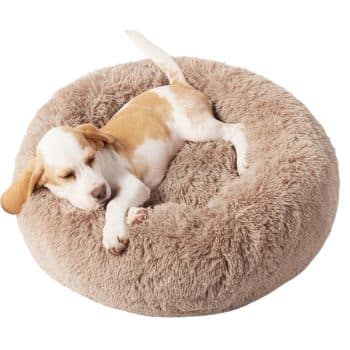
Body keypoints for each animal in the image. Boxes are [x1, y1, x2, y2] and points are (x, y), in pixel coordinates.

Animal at [0, 31, 249, 256]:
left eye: (91, 159)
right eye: (66, 176)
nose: (100, 192)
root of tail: (179, 86)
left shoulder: (135, 186)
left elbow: (113, 204)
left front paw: (113, 233)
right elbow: (116, 205)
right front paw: (134, 216)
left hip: (196, 129)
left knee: (236, 129)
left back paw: (244, 163)